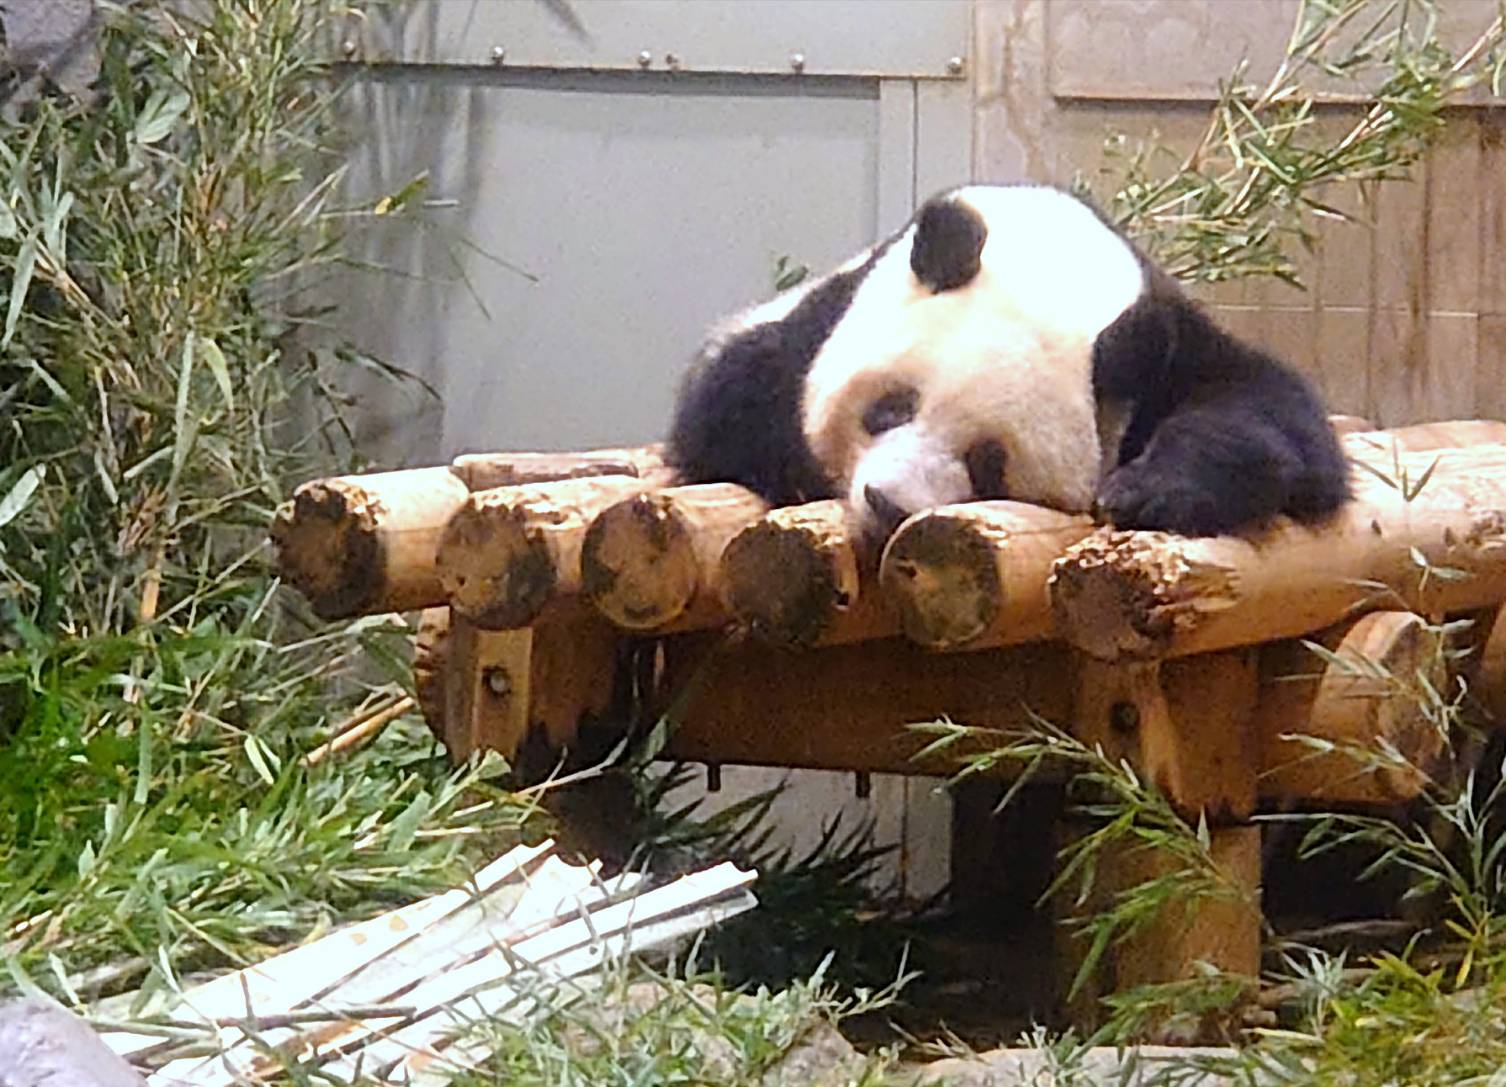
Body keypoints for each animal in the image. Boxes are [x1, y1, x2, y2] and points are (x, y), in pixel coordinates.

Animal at [665, 182, 1349, 551]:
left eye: (989, 463)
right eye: (890, 408)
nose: (887, 504)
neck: (1052, 256)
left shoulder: (1167, 340)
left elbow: (1267, 415)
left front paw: (1152, 490)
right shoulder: (819, 317)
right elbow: (731, 406)